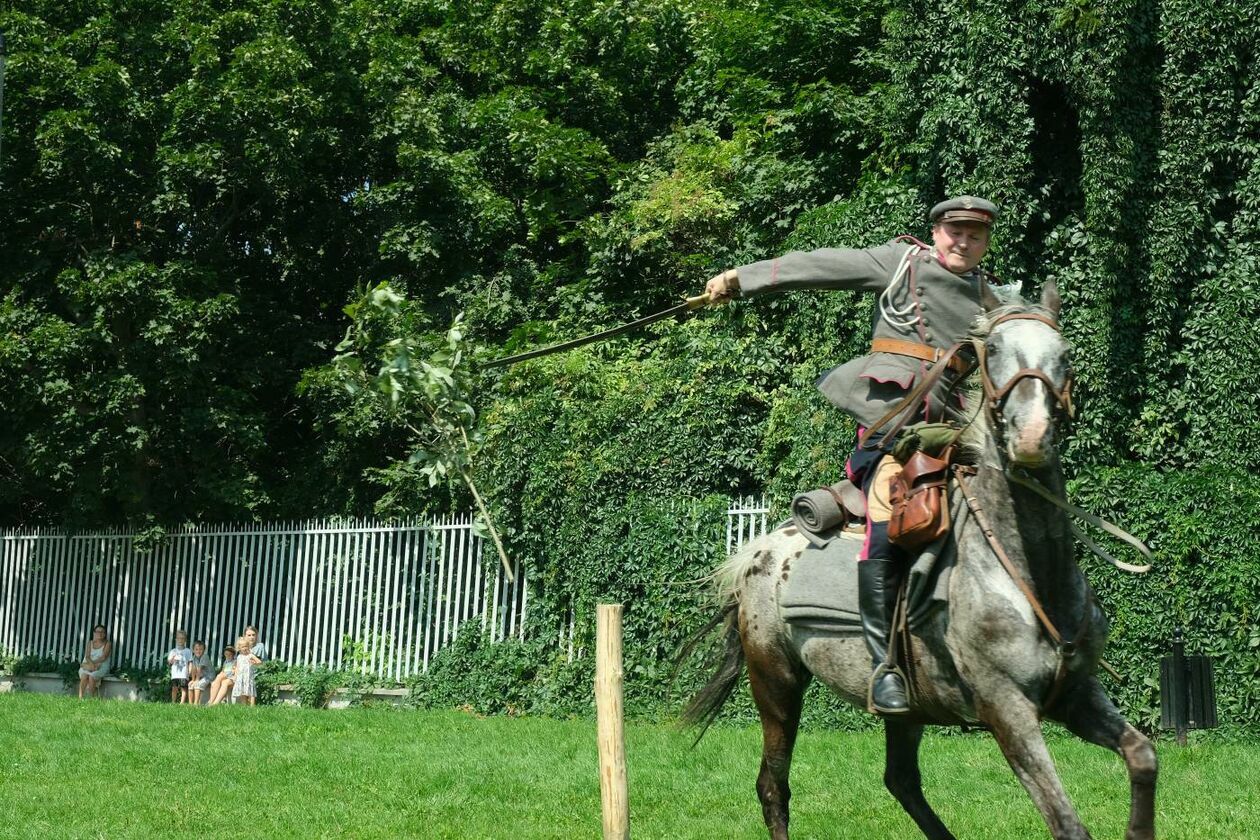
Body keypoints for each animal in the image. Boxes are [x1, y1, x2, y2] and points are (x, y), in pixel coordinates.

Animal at [685, 285, 1154, 836]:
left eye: (1065, 355)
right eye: (994, 350)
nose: (1032, 437)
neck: (1031, 577)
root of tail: (758, 552)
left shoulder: (1077, 695)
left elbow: (1143, 755)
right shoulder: (1009, 711)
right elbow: (1067, 823)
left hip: (905, 712)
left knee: (901, 781)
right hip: (776, 683)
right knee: (773, 784)